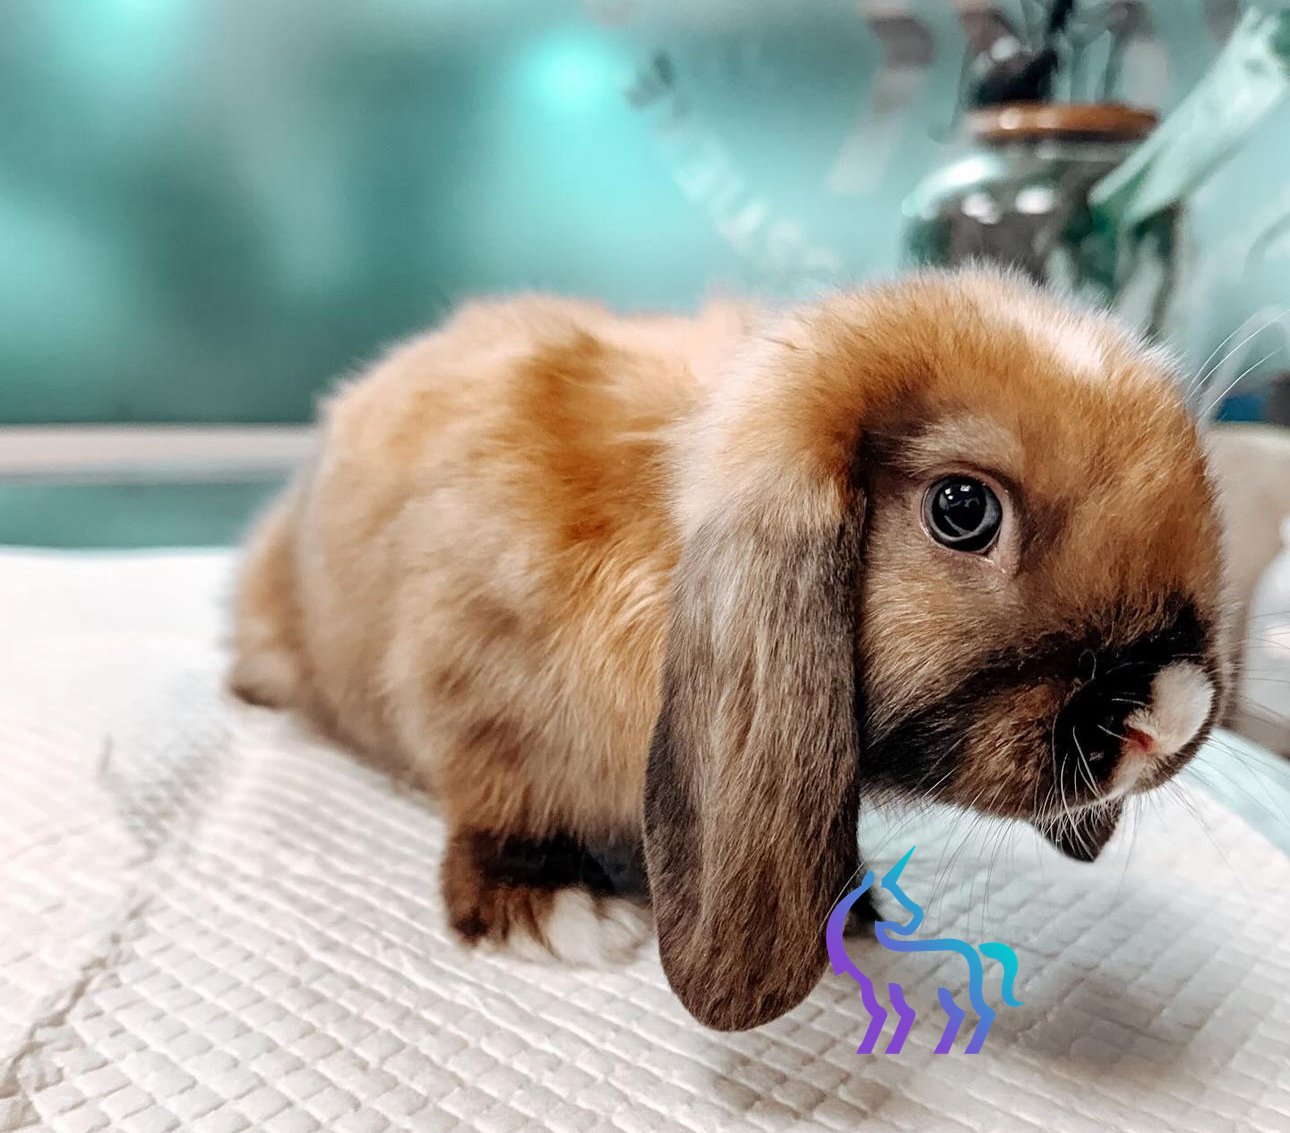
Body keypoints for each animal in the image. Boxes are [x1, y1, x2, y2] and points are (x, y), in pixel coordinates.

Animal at [228, 268, 1230, 1032]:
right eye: (962, 509)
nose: (1174, 714)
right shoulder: (473, 697)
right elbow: (499, 812)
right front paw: (557, 913)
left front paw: (854, 906)